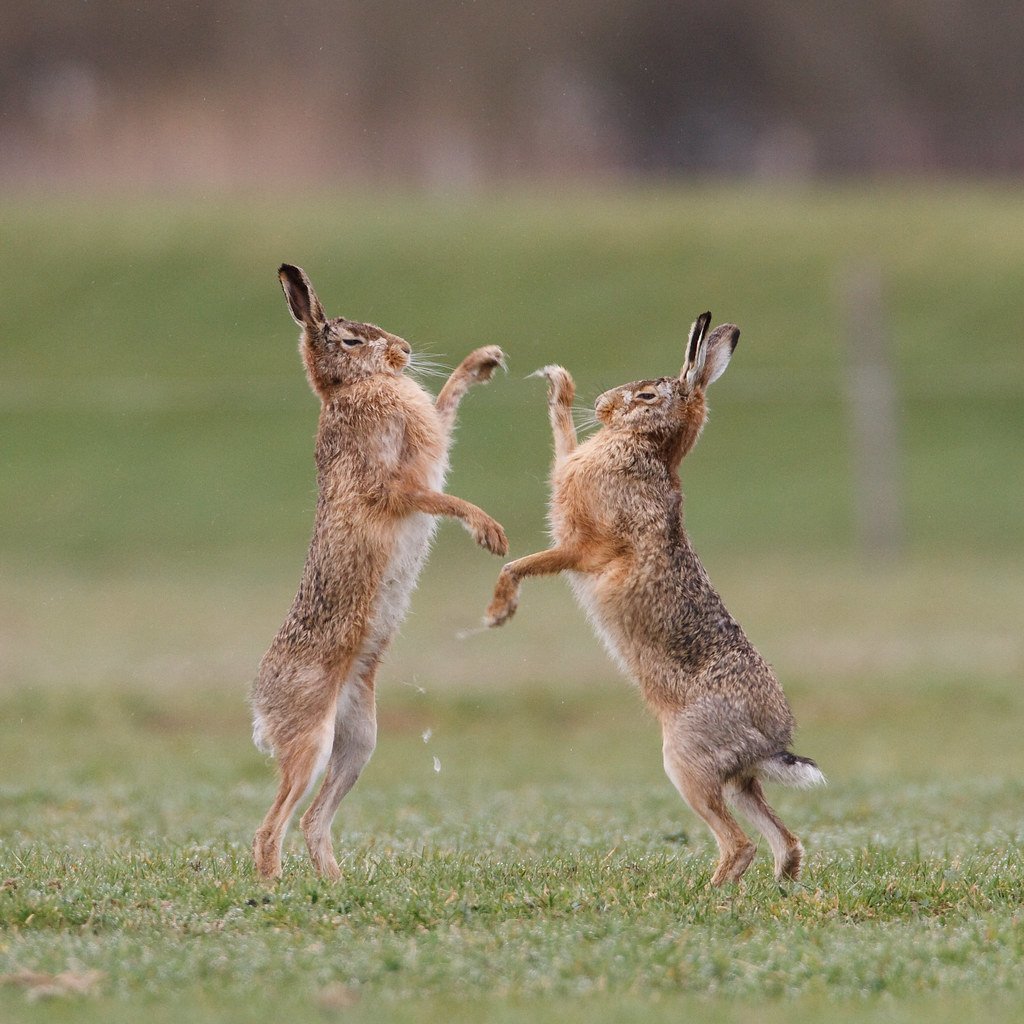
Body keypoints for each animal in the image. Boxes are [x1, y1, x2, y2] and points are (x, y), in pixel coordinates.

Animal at [251, 263, 508, 881]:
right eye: (351, 340)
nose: (405, 350)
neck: (353, 388)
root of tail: (258, 705)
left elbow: (446, 402)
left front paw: (483, 361)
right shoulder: (392, 485)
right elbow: (438, 498)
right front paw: (490, 532)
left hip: (360, 740)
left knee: (313, 820)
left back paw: (335, 885)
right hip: (310, 741)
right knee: (271, 827)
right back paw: (274, 887)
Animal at [484, 312, 824, 886]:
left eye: (645, 396)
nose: (603, 404)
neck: (648, 450)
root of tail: (769, 743)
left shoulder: (582, 547)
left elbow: (523, 563)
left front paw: (498, 608)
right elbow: (564, 440)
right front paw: (559, 383)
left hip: (686, 760)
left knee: (738, 845)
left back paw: (708, 891)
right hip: (736, 780)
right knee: (783, 838)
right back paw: (782, 884)